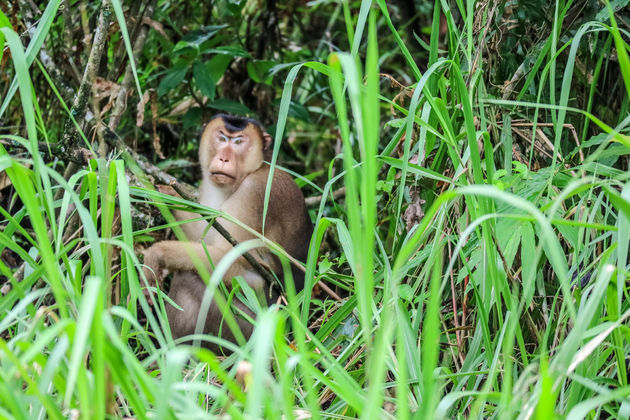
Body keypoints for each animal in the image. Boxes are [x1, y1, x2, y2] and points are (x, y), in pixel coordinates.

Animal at [142, 113, 312, 350]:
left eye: (239, 141)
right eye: (222, 138)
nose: (224, 159)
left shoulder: (254, 192)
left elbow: (232, 259)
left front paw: (158, 254)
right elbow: (202, 235)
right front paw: (168, 195)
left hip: (244, 330)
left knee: (191, 279)